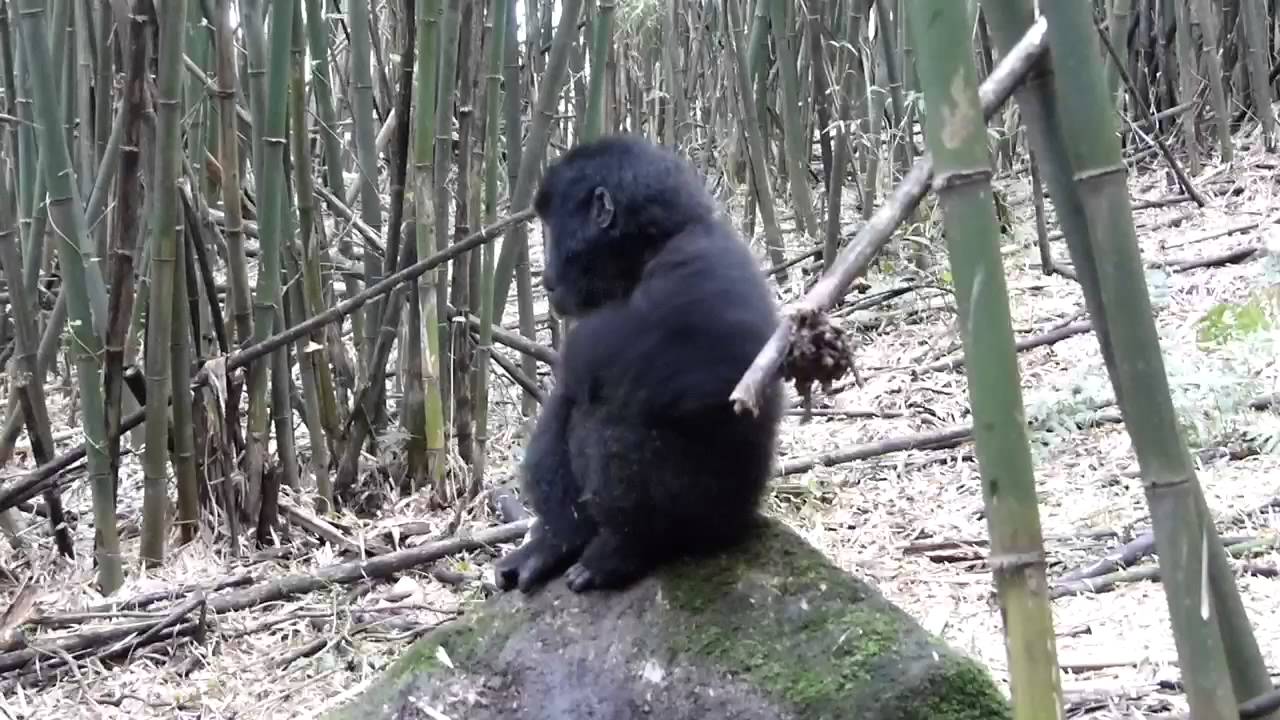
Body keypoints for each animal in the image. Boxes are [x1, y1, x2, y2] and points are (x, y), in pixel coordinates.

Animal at [493, 135, 783, 594]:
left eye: (553, 228)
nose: (545, 274)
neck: (648, 251)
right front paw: (553, 537)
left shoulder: (688, 273)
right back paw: (558, 544)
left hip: (715, 519)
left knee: (619, 418)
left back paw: (624, 549)